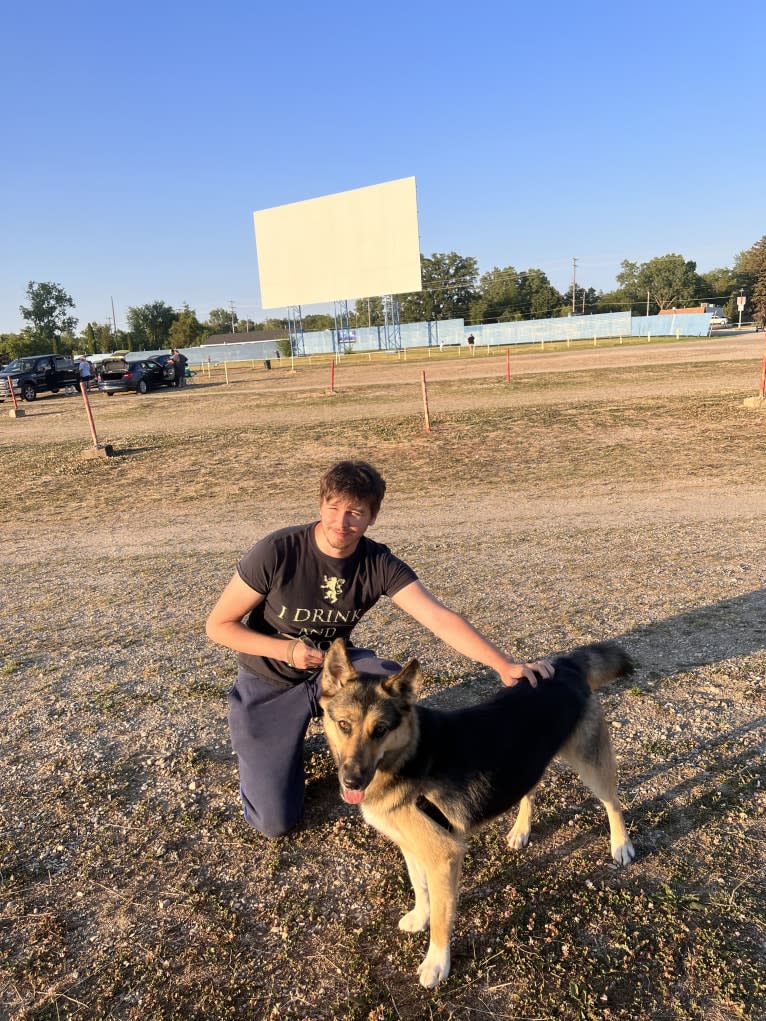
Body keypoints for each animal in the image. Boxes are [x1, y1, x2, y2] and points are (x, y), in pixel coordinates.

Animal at [318, 641, 637, 984]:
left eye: (380, 730)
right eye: (344, 725)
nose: (351, 781)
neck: (408, 756)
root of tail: (565, 665)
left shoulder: (443, 857)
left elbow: (442, 918)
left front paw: (436, 963)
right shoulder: (412, 847)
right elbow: (420, 888)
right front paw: (419, 917)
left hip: (591, 765)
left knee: (612, 802)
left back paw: (620, 844)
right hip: (525, 764)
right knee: (529, 791)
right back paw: (521, 830)